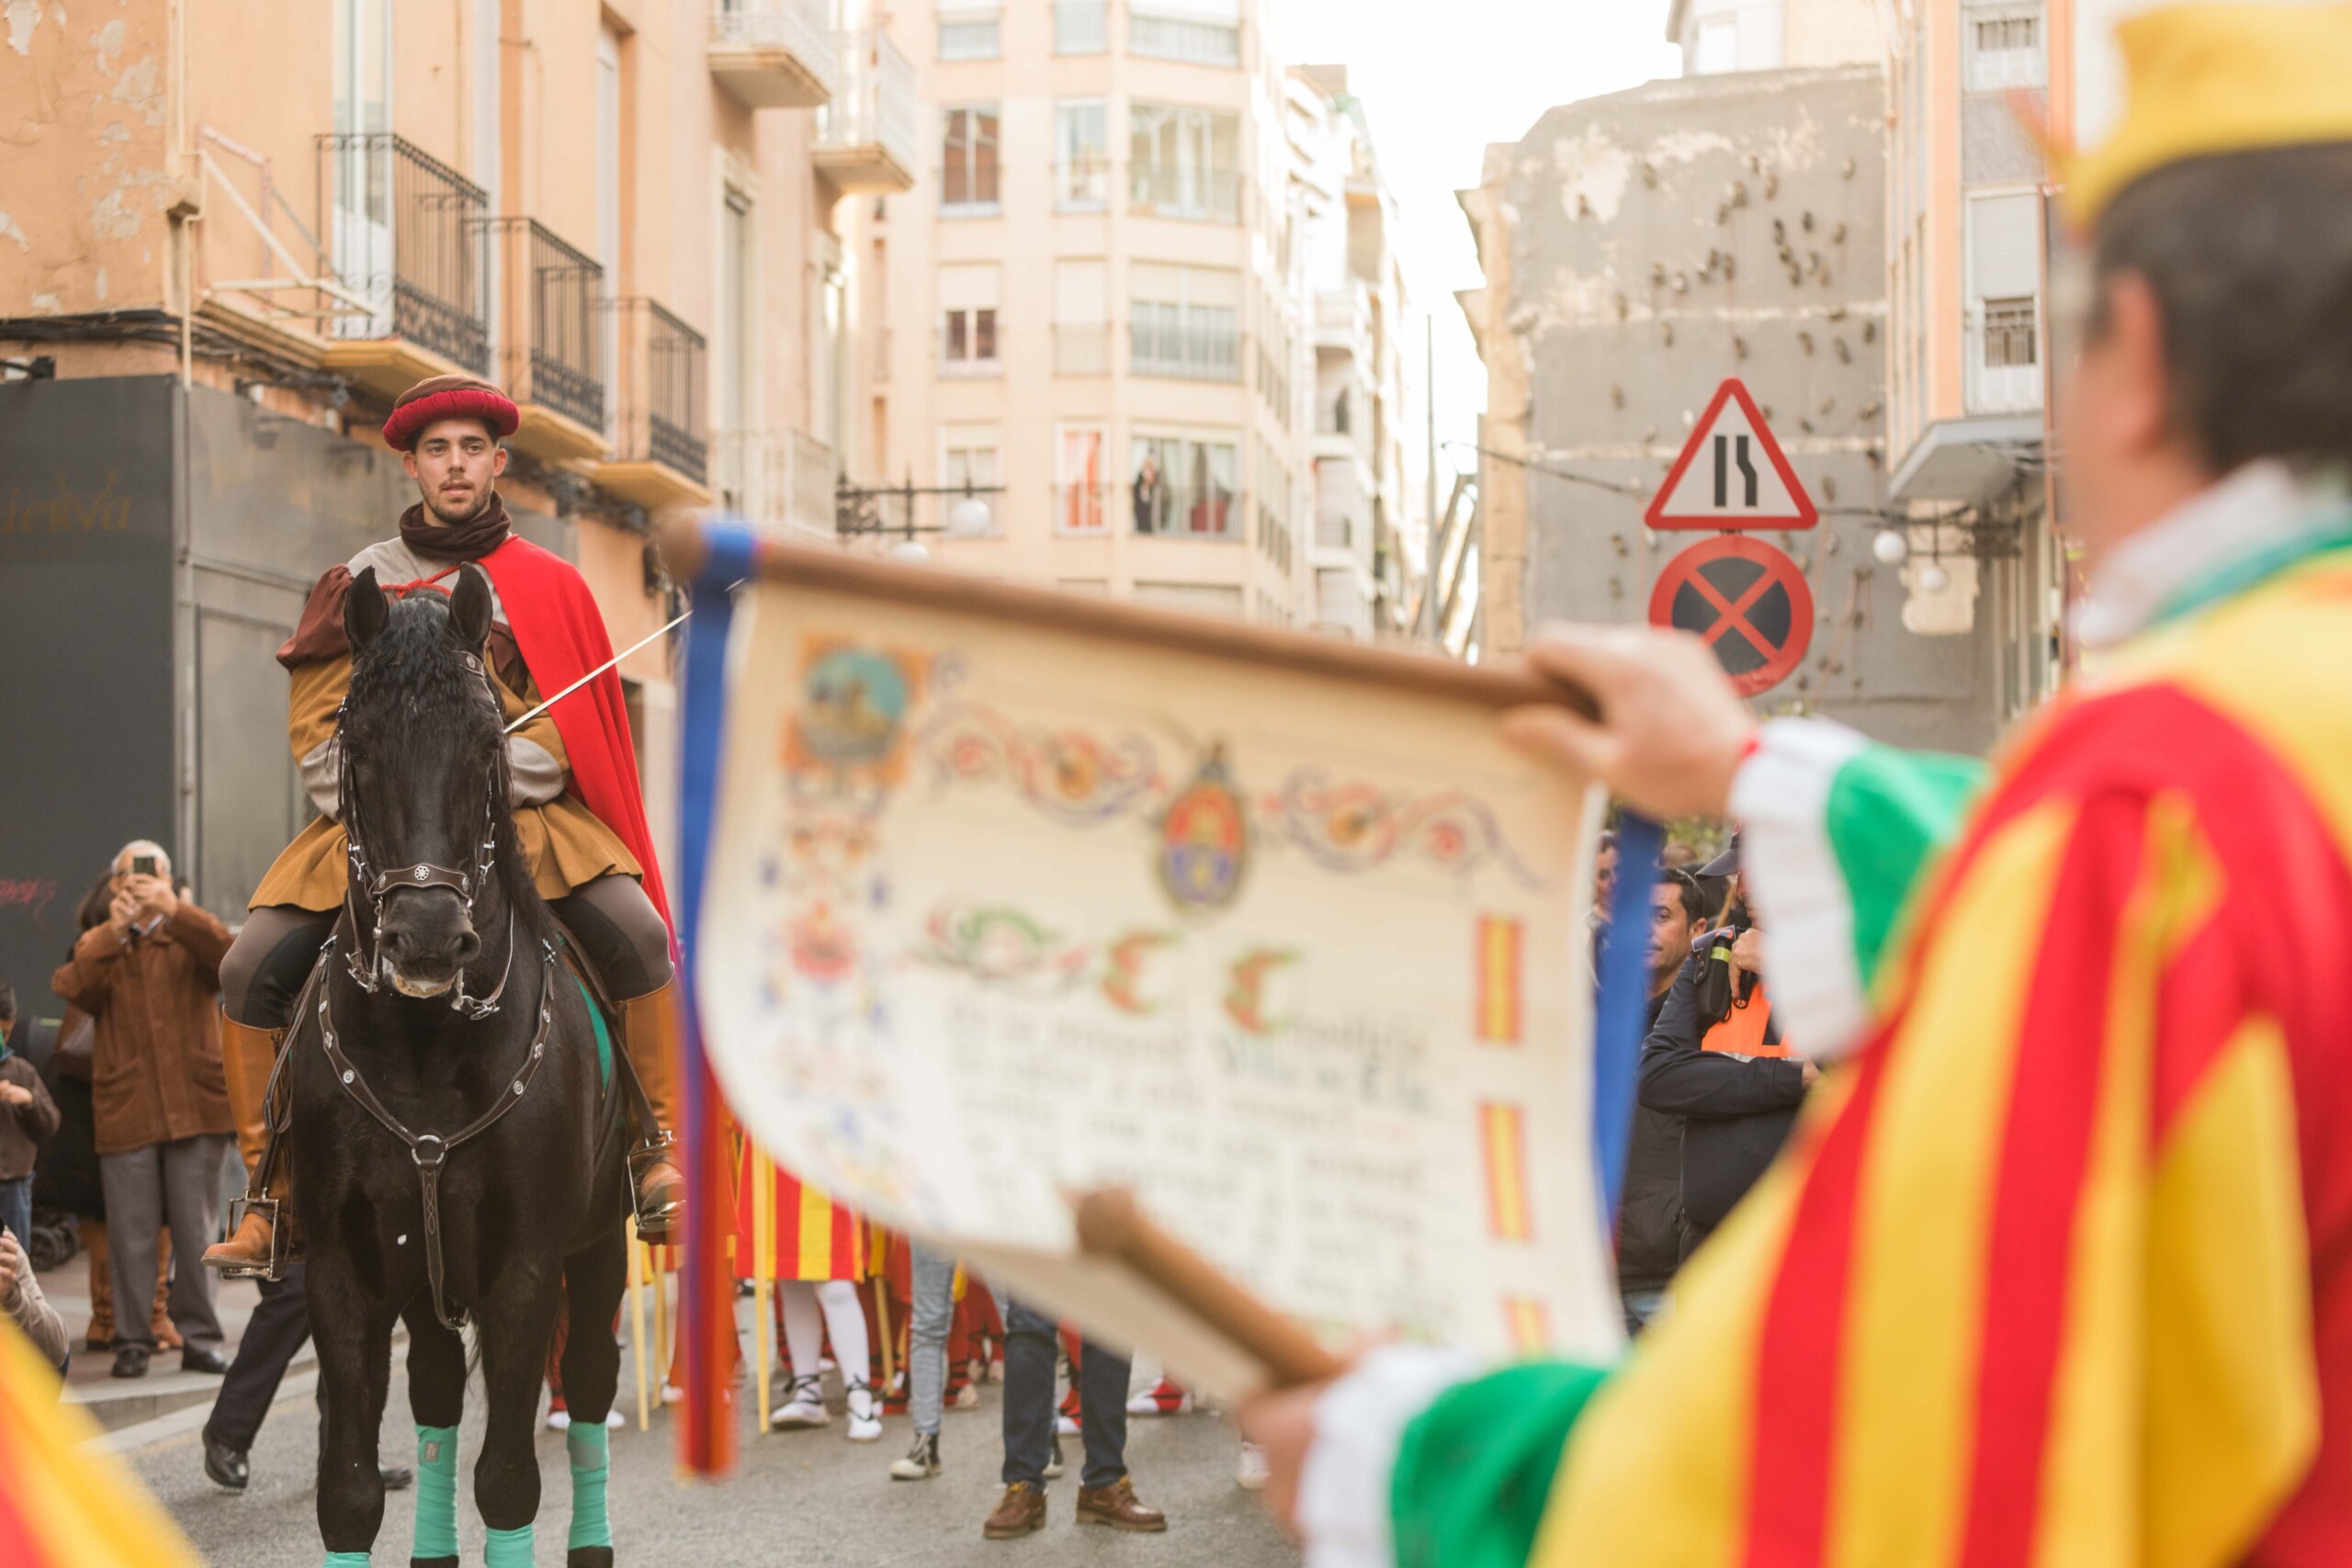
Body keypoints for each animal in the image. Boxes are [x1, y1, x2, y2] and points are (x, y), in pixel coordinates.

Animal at [287, 562, 632, 1567]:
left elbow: (510, 1479)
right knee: (438, 1389)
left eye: (486, 745)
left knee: (590, 1380)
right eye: (356, 745)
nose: (428, 939)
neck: (424, 1043)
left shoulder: (530, 1266)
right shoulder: (345, 1271)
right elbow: (350, 1492)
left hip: (601, 1244)